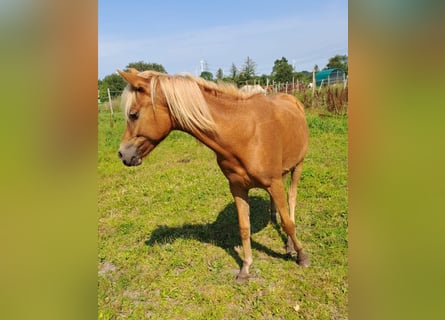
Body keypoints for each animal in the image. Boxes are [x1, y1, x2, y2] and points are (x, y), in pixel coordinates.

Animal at [115, 68, 308, 280]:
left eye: (133, 115)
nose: (122, 154)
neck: (244, 133)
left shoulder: (273, 183)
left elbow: (288, 224)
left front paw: (301, 255)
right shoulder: (238, 187)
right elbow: (244, 228)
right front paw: (245, 268)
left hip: (297, 166)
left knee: (291, 199)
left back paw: (290, 244)